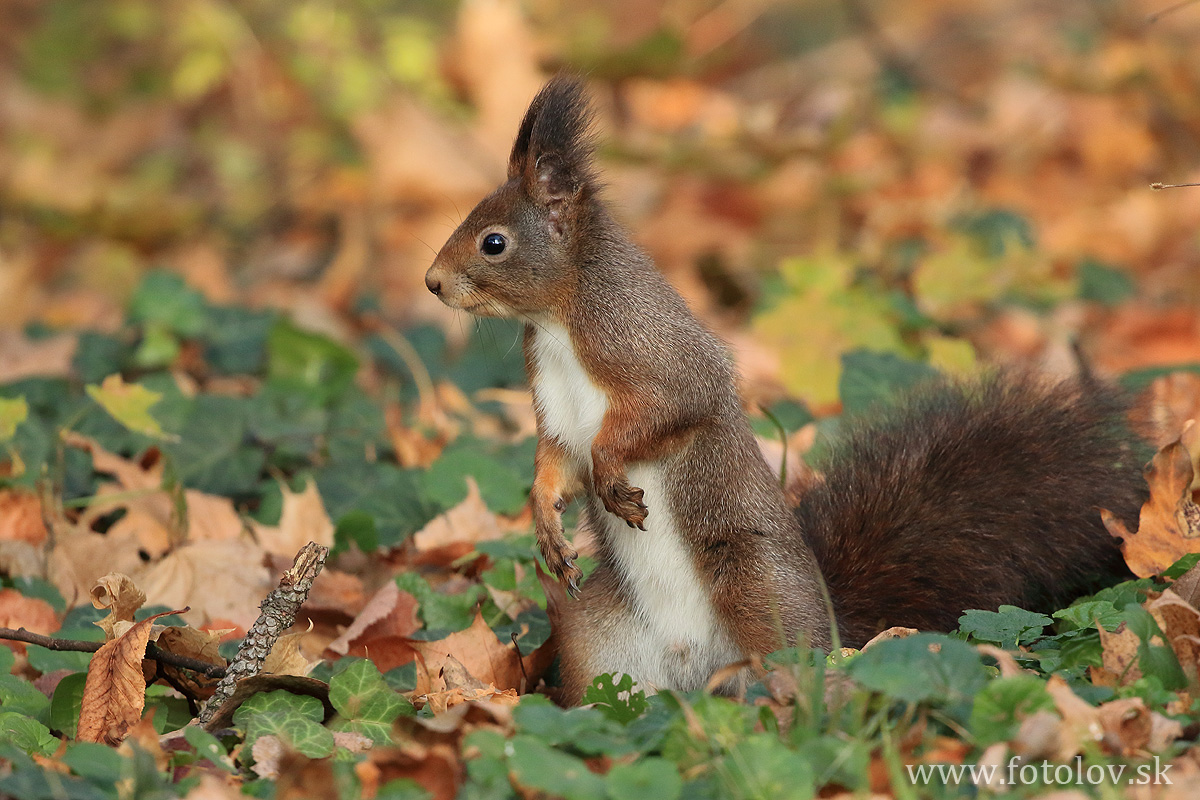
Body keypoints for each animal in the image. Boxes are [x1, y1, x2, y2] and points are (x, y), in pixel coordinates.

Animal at [422, 73, 1142, 700]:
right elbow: (554, 461)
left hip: (756, 589)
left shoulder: (656, 354)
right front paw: (546, 520)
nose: (431, 283)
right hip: (597, 645)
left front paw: (610, 473)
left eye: (493, 243)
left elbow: (662, 414)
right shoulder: (552, 404)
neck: (559, 322)